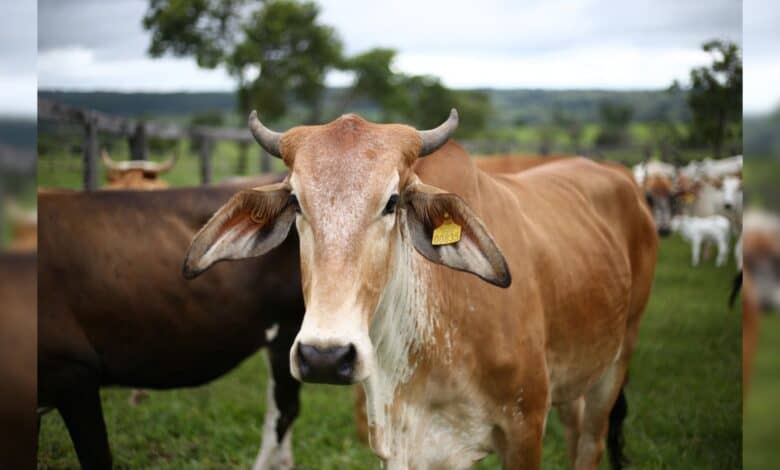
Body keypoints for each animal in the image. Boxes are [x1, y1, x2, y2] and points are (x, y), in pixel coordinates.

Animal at [184, 109, 658, 469]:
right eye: (298, 201)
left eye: (392, 202)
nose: (325, 356)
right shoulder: (401, 446)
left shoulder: (525, 426)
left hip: (617, 361)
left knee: (591, 443)